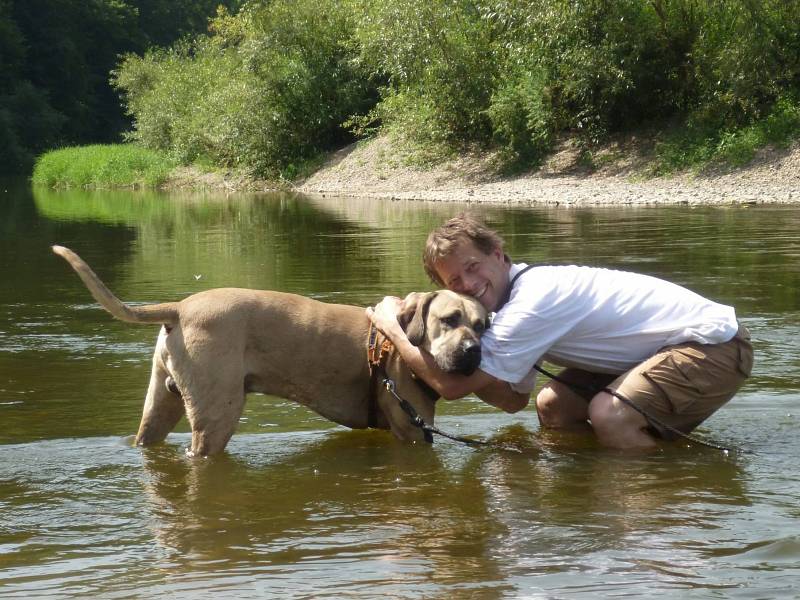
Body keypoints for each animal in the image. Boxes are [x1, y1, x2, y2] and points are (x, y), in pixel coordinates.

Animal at [53, 244, 488, 454]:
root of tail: (179, 307)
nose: (473, 351)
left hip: (161, 402)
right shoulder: (413, 431)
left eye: (483, 325)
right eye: (449, 319)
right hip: (217, 414)